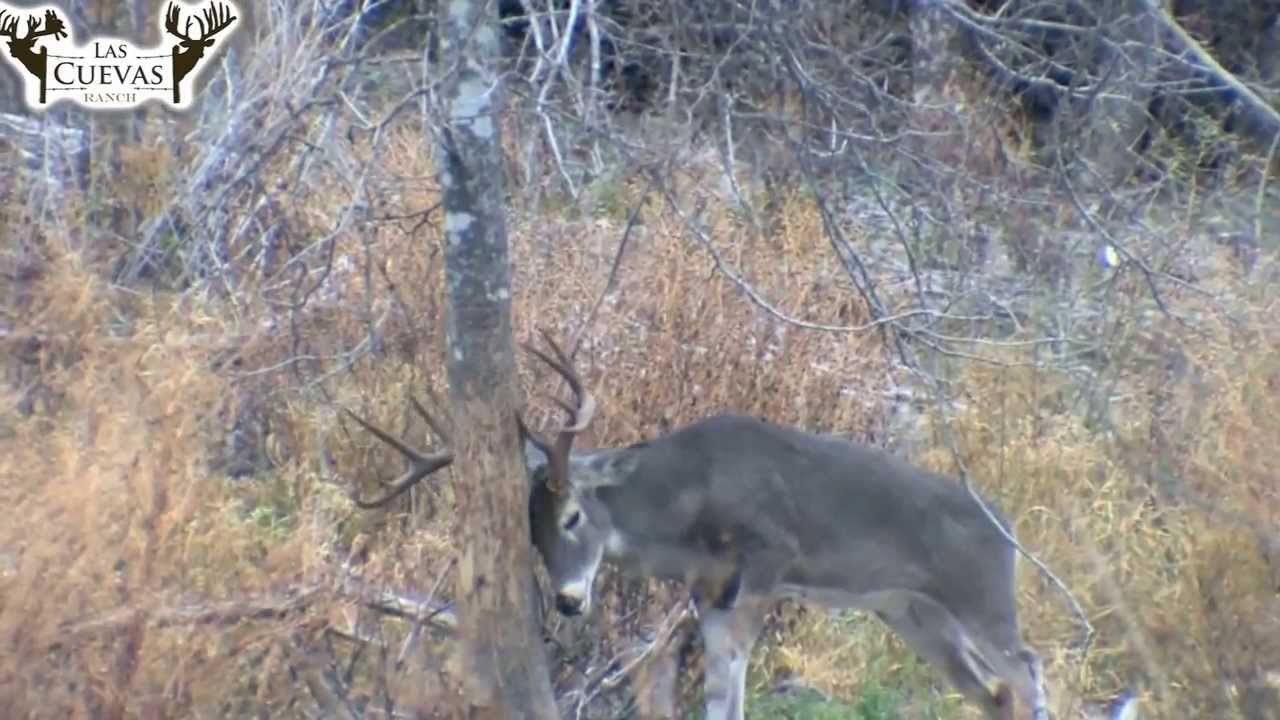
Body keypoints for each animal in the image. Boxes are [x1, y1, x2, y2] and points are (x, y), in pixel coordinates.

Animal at [346, 333, 1049, 720]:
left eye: (573, 515)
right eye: (532, 535)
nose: (569, 602)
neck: (686, 507)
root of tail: (1007, 529)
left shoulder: (769, 557)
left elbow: (727, 678)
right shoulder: (706, 588)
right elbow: (718, 690)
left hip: (983, 595)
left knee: (1026, 668)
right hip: (911, 612)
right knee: (994, 692)